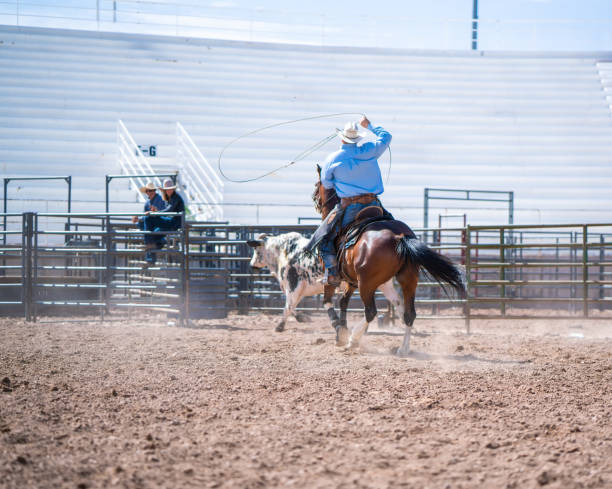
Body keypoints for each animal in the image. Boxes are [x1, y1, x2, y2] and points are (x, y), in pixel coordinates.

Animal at [316, 167, 464, 354]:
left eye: (317, 185)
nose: (315, 199)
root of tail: (398, 237)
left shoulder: (333, 278)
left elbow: (328, 301)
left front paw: (340, 333)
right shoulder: (363, 282)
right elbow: (345, 301)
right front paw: (341, 330)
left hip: (366, 284)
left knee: (370, 312)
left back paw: (353, 339)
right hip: (407, 279)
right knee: (409, 313)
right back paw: (403, 348)